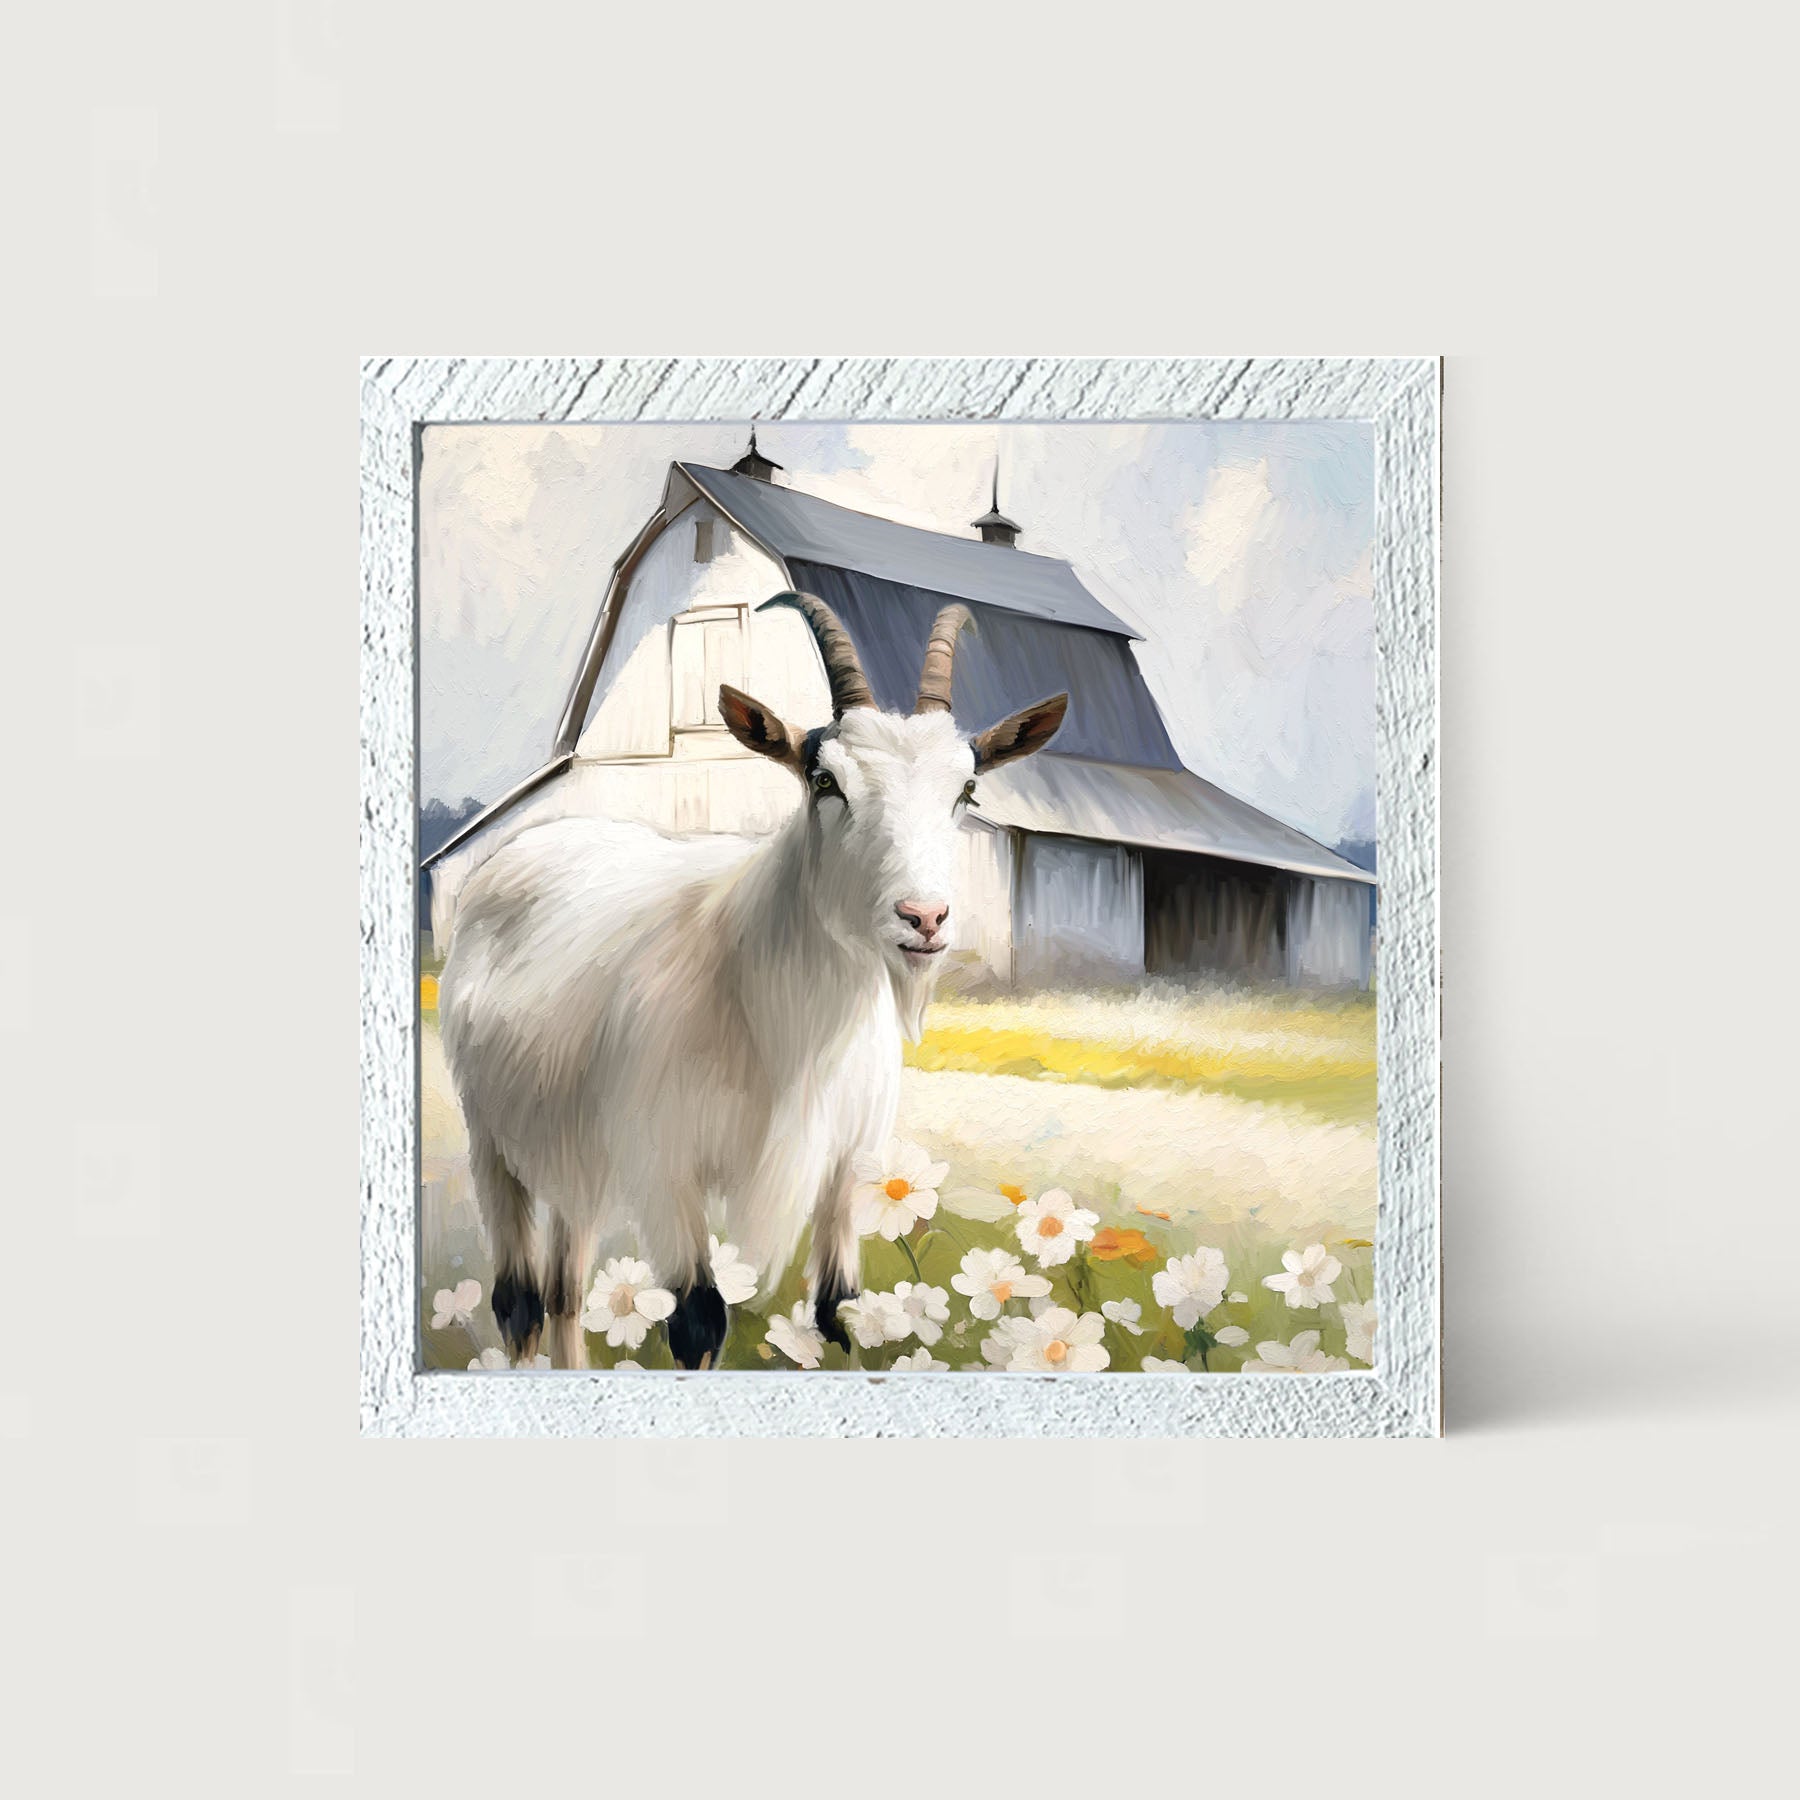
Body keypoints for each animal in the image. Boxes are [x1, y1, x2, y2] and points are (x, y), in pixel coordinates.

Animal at [437, 592, 1067, 1367]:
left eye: (967, 789)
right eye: (825, 781)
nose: (924, 917)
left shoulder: (846, 1165)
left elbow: (839, 1313)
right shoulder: (663, 1164)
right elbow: (697, 1322)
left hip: (573, 1146)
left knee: (565, 1288)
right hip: (491, 1135)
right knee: (519, 1299)